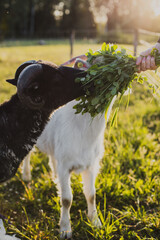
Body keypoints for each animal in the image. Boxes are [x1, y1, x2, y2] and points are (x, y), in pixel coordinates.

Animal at [21, 57, 117, 238]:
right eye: (98, 62)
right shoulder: (65, 166)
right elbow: (66, 199)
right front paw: (65, 229)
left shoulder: (90, 165)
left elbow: (91, 195)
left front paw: (95, 223)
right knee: (27, 155)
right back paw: (26, 176)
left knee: (52, 158)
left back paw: (53, 176)